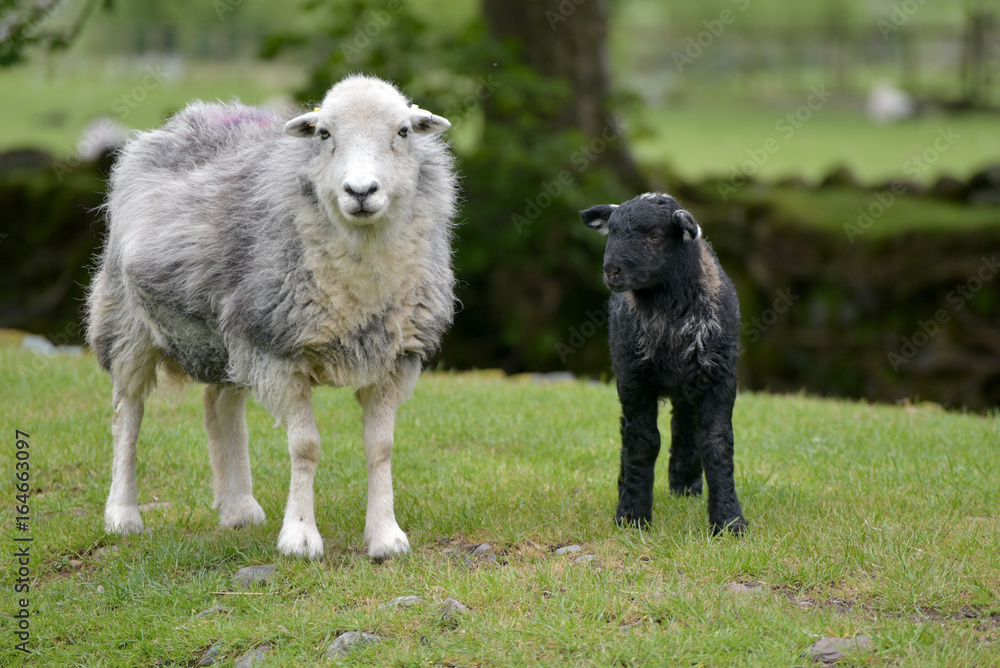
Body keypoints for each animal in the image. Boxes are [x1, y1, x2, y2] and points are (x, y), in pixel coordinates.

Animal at [86, 74, 457, 560]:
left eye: (404, 132)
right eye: (324, 134)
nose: (360, 192)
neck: (360, 287)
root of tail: (191, 116)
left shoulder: (393, 358)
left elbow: (381, 447)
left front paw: (385, 536)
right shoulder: (279, 352)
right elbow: (305, 447)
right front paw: (300, 537)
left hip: (227, 335)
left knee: (220, 407)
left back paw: (238, 507)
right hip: (129, 321)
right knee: (126, 414)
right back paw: (123, 514)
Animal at [580, 192, 747, 535]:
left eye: (655, 236)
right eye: (612, 232)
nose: (612, 270)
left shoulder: (720, 376)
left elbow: (717, 442)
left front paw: (729, 520)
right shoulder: (633, 378)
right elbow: (642, 442)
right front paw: (632, 515)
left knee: (686, 425)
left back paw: (685, 486)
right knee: (631, 432)